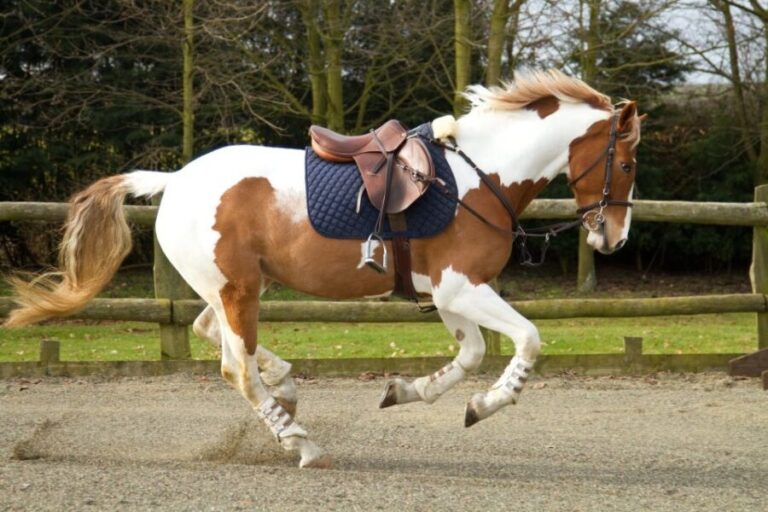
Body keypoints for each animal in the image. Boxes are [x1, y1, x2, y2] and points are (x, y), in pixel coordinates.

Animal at [4, 70, 642, 468]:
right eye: (629, 161)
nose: (612, 237)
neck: (477, 177)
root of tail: (174, 180)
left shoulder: (447, 294)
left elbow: (470, 355)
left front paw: (406, 391)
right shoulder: (463, 287)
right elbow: (528, 340)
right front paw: (486, 406)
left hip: (232, 289)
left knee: (210, 334)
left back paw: (286, 389)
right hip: (238, 291)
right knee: (236, 368)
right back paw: (300, 442)